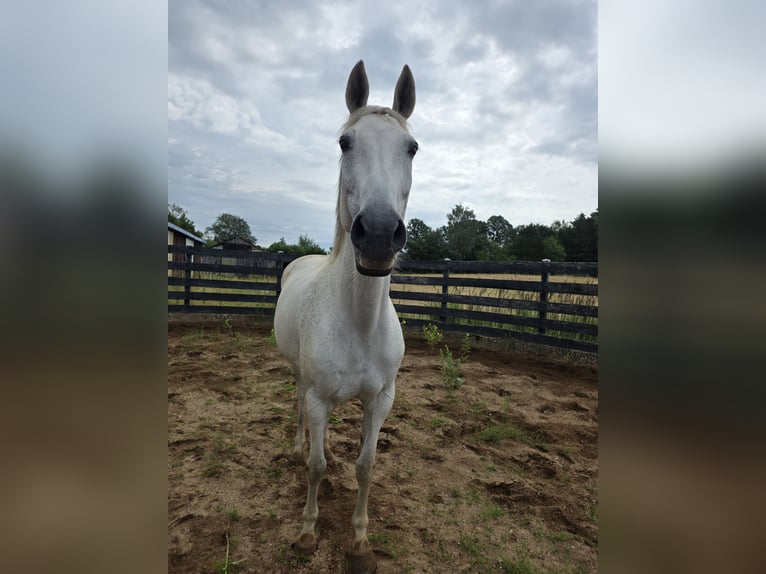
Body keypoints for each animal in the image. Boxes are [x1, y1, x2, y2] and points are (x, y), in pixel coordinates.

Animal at [273, 60, 417, 572]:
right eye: (344, 143)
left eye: (412, 148)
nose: (376, 234)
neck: (358, 322)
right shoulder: (319, 396)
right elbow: (314, 468)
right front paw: (306, 533)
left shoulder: (381, 401)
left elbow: (366, 466)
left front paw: (359, 542)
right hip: (300, 376)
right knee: (299, 408)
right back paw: (300, 444)